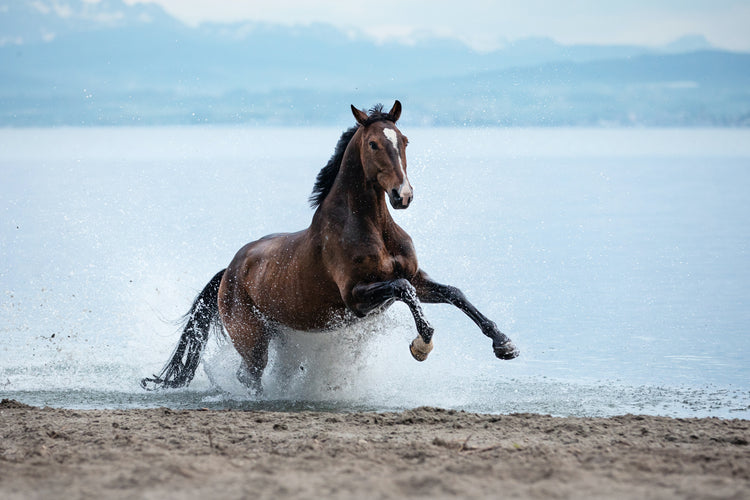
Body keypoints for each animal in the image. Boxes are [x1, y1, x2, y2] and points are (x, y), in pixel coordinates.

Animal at [141, 99, 520, 392]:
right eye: (373, 144)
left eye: (404, 140)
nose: (403, 195)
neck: (372, 226)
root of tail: (229, 270)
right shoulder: (355, 297)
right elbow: (402, 289)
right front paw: (421, 345)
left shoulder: (417, 277)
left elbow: (453, 293)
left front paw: (504, 344)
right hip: (251, 337)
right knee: (249, 375)